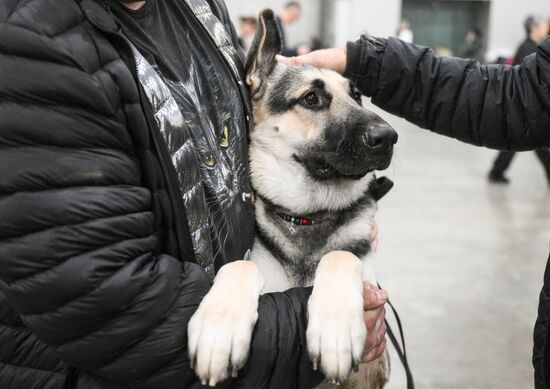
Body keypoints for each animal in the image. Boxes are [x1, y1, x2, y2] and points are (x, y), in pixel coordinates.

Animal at [188, 9, 398, 388]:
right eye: (311, 98)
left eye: (357, 97)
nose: (388, 136)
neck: (308, 215)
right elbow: (240, 264)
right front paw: (219, 326)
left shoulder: (373, 360)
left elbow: (340, 256)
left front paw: (334, 328)